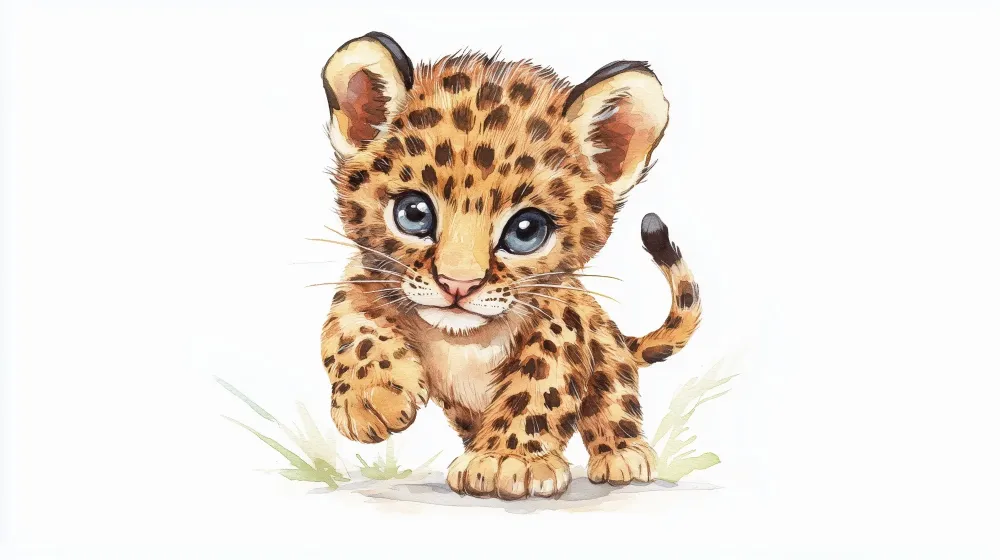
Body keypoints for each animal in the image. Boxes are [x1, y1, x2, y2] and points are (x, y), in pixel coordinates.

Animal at [318, 32, 701, 500]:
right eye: (414, 213)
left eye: (526, 230)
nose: (457, 285)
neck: (464, 340)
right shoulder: (366, 275)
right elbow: (350, 328)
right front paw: (374, 398)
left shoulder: (559, 322)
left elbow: (539, 386)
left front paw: (506, 460)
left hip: (608, 358)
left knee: (615, 397)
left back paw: (623, 455)